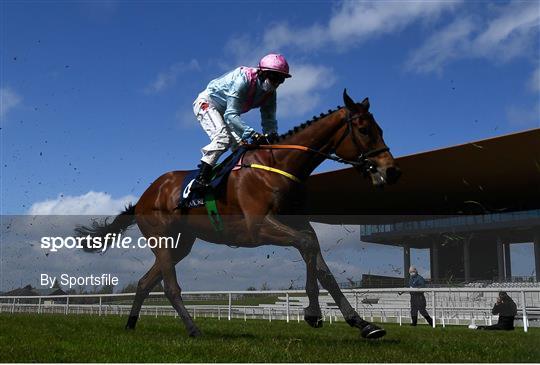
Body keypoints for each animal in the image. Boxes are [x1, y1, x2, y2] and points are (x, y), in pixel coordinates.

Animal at [76, 90, 400, 338]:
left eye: (382, 129)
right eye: (364, 130)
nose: (392, 171)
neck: (279, 166)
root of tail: (144, 197)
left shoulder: (300, 224)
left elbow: (322, 266)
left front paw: (362, 323)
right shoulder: (259, 228)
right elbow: (308, 248)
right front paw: (313, 313)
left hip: (180, 244)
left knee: (145, 283)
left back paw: (131, 324)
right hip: (162, 239)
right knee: (170, 287)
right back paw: (193, 329)